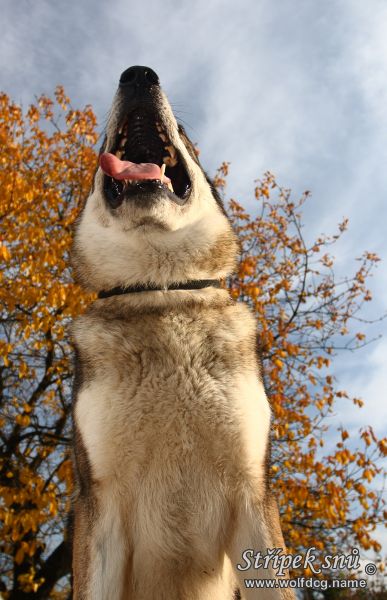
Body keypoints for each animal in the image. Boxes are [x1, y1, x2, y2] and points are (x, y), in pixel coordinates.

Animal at [70, 65, 294, 600]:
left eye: (187, 134)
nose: (137, 74)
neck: (161, 289)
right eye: (98, 143)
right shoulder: (99, 509)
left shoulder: (254, 493)